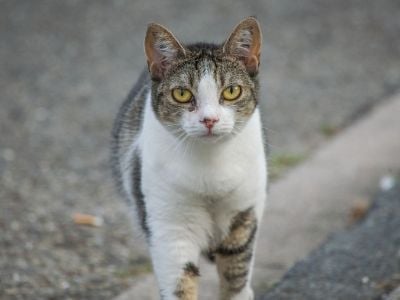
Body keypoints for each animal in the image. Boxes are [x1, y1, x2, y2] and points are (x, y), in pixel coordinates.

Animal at [112, 17, 268, 300]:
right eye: (182, 94)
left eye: (231, 91)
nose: (209, 119)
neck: (210, 166)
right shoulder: (169, 230)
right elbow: (180, 284)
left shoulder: (244, 213)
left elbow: (236, 276)